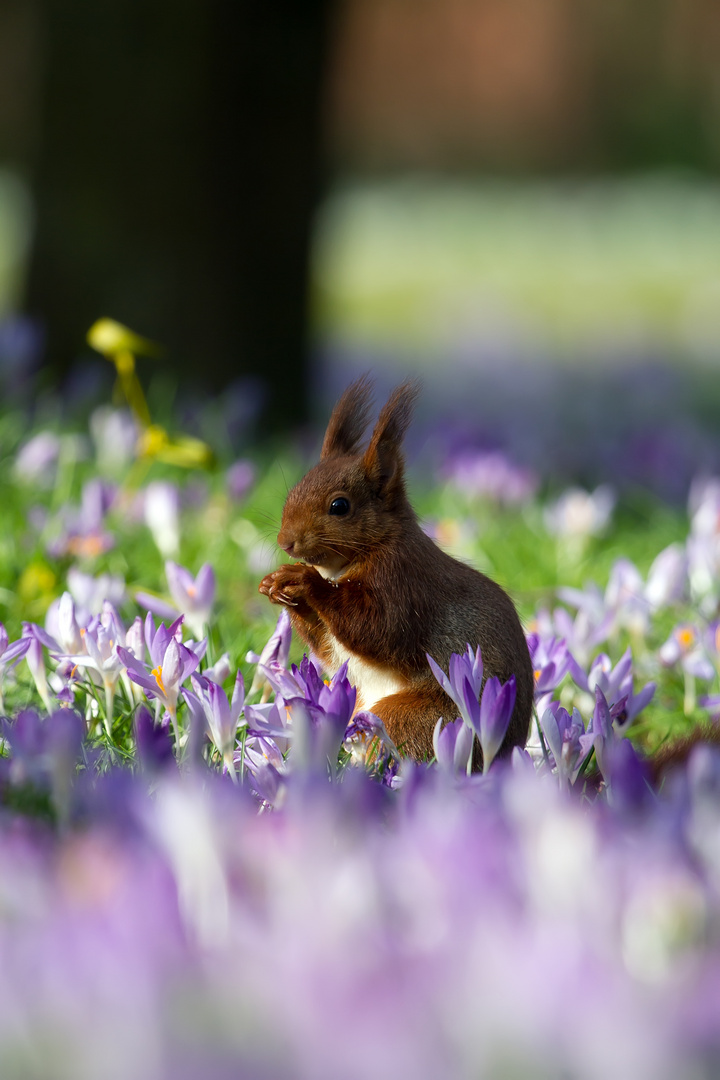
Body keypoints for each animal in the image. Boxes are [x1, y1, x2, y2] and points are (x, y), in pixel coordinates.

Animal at [259, 375, 535, 764]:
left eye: (339, 506)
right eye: (293, 491)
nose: (286, 542)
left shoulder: (403, 581)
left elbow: (379, 627)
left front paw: (305, 581)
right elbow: (328, 645)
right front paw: (275, 586)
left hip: (419, 719)